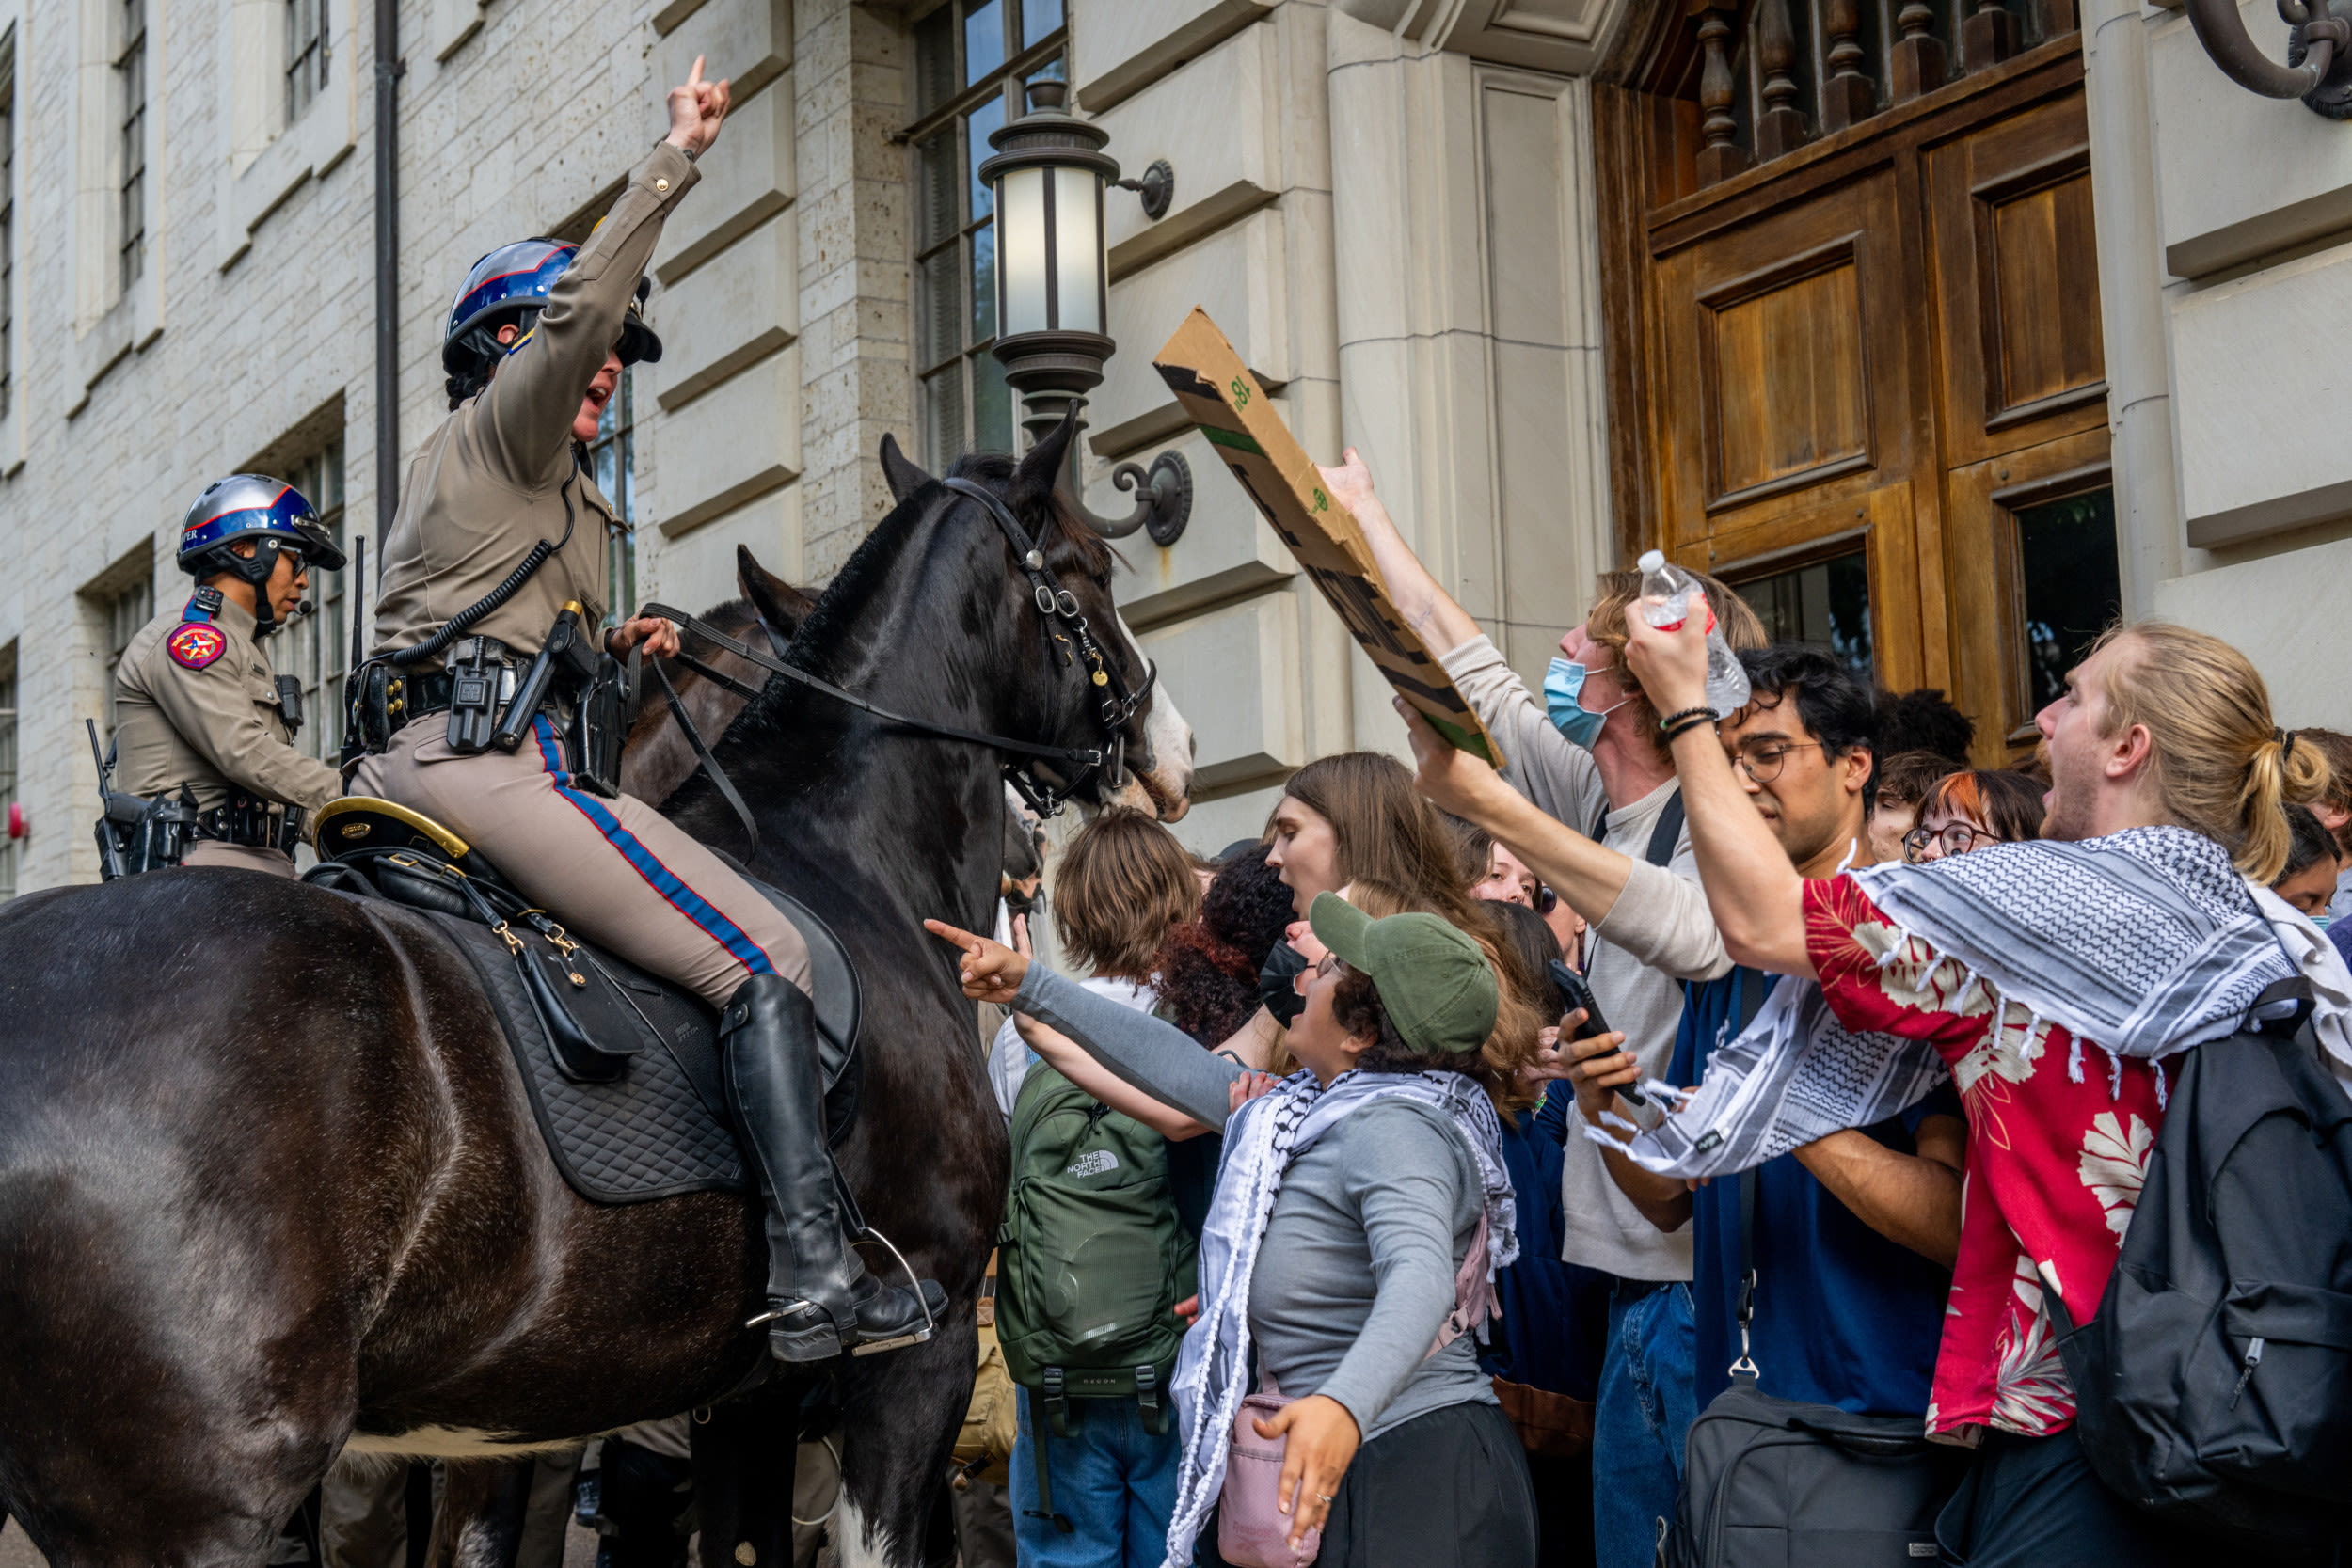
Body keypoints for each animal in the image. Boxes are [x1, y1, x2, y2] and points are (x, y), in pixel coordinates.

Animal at [0, 420, 1185, 1568]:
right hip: (203, 1498)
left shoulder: (732, 1403)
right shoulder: (915, 1356)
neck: (848, 858)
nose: (1172, 747)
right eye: (1088, 572)